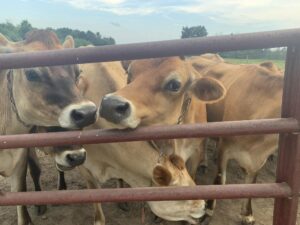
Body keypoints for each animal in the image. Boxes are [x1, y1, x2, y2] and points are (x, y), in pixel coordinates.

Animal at [190, 53, 284, 224]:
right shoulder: (225, 146)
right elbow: (220, 179)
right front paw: (208, 210)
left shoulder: (259, 159)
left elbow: (251, 184)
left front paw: (247, 214)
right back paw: (204, 162)